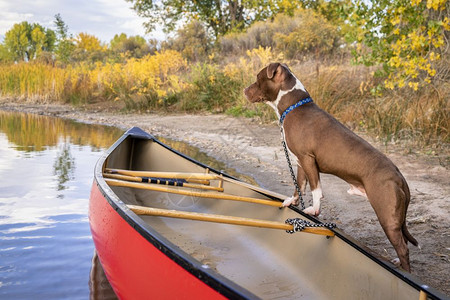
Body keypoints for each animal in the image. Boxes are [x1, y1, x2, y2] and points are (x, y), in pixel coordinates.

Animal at [243, 62, 418, 272]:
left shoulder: (308, 159)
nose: (244, 90)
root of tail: (399, 178)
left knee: (403, 248)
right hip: (396, 218)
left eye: (257, 78)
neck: (293, 105)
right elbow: (299, 185)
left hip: (387, 215)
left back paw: (405, 271)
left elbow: (316, 189)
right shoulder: (300, 162)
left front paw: (314, 210)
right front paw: (292, 201)